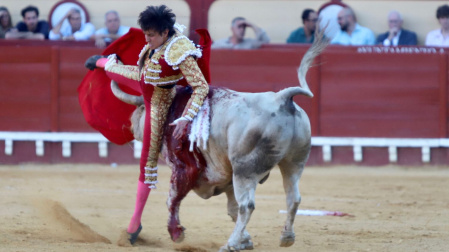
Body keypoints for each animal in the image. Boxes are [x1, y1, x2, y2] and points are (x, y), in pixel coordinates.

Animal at [108, 28, 326, 250]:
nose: (131, 127)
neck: (173, 108)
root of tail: (281, 98)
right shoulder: (226, 177)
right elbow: (231, 208)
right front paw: (246, 240)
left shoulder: (183, 168)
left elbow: (173, 199)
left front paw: (176, 233)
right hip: (294, 162)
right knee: (293, 198)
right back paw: (286, 237)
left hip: (245, 169)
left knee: (247, 205)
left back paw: (230, 244)